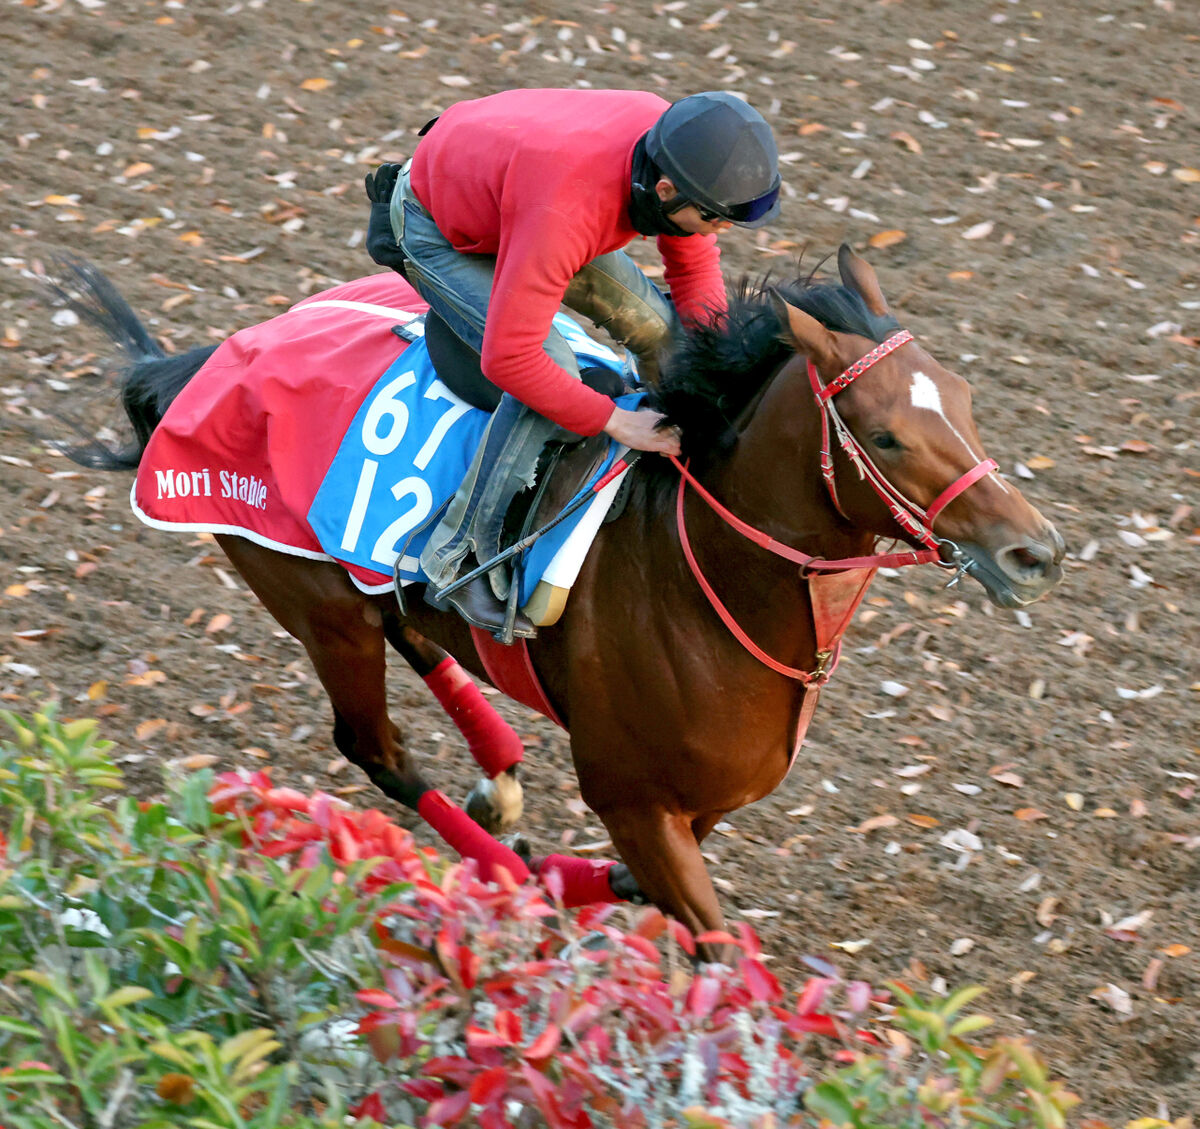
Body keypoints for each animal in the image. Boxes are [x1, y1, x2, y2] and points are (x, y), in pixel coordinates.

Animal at [42, 244, 1065, 950]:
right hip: (316, 605)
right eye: (885, 436)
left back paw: (500, 782)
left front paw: (563, 872)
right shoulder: (634, 795)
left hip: (367, 591)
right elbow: (710, 936)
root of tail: (203, 365)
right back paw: (501, 859)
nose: (1034, 552)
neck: (705, 582)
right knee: (375, 744)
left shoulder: (704, 799)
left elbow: (641, 885)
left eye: (965, 399)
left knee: (418, 634)